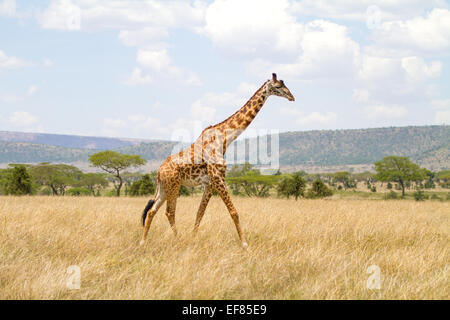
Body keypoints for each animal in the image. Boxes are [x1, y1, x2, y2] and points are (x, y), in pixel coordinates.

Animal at [141, 74, 296, 249]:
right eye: (278, 86)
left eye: (284, 84)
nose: (292, 96)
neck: (224, 138)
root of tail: (159, 172)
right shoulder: (218, 177)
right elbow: (233, 212)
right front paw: (244, 243)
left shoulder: (209, 183)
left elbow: (200, 212)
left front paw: (193, 238)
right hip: (174, 185)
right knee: (169, 212)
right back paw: (177, 239)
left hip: (164, 188)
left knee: (152, 211)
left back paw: (143, 241)